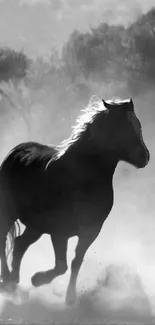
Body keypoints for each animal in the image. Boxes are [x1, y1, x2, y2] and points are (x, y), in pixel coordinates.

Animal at [0, 95, 150, 304]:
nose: (144, 157)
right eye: (121, 127)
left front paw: (70, 298)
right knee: (4, 240)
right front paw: (37, 279)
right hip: (9, 214)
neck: (82, 178)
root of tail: (16, 151)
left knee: (20, 244)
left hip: (36, 225)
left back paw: (14, 282)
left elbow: (75, 262)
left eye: (138, 125)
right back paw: (7, 280)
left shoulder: (90, 231)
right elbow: (61, 265)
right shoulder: (59, 230)